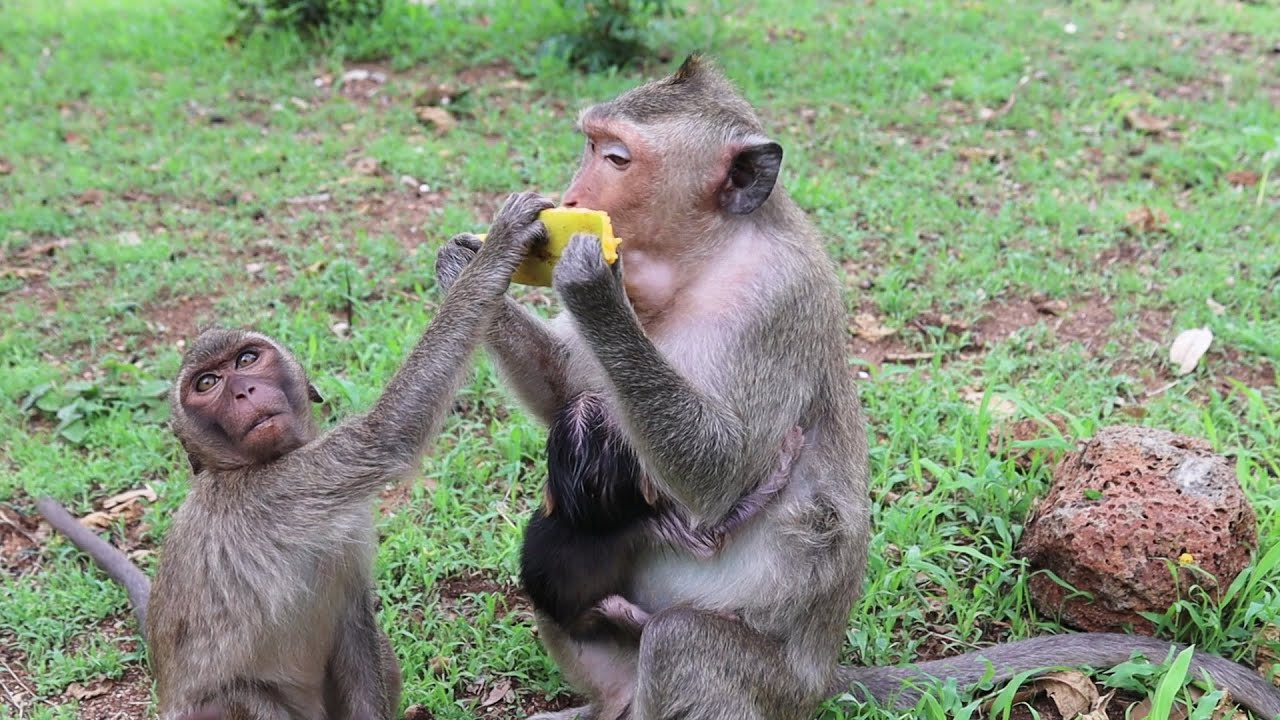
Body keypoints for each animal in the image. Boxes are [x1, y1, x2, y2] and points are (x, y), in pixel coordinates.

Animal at [34, 190, 554, 720]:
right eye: (207, 383)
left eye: (246, 360)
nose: (242, 391)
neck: (239, 466)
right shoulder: (279, 490)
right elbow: (386, 435)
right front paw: (496, 248)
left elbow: (354, 627)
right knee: (240, 697)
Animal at [518, 390, 804, 641]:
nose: (589, 395)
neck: (584, 518)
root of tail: (561, 621)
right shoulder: (649, 520)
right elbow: (711, 539)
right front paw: (784, 459)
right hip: (593, 614)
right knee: (616, 608)